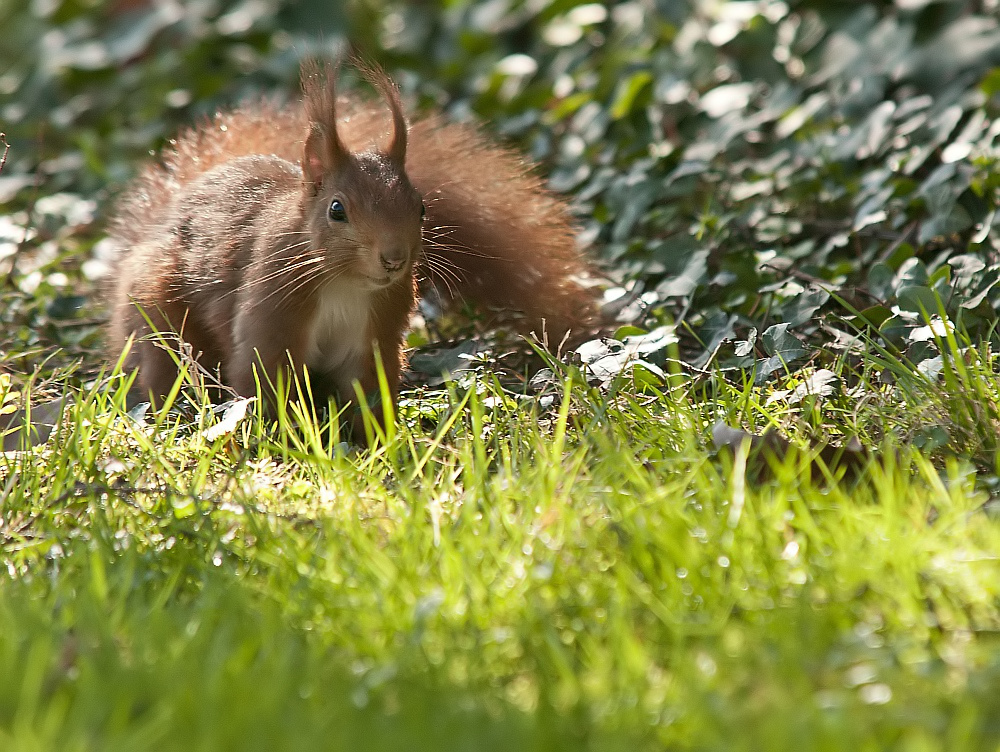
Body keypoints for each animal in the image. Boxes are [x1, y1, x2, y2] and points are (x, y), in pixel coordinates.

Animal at [106, 61, 596, 420]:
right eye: (337, 210)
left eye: (422, 207)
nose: (394, 259)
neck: (345, 284)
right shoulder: (271, 318)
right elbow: (262, 384)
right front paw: (280, 440)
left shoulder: (374, 335)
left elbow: (368, 393)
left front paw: (380, 444)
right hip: (159, 317)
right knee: (163, 370)